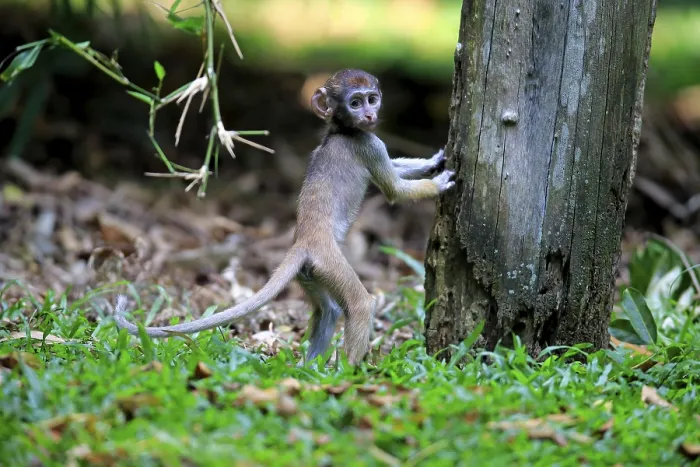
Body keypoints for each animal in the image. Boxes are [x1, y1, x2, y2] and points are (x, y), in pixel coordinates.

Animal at [114, 69, 455, 366]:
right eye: (356, 102)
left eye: (373, 98)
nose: (369, 115)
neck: (340, 130)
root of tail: (303, 242)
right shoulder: (368, 145)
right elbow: (394, 189)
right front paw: (440, 182)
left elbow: (397, 169)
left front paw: (433, 161)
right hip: (328, 261)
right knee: (359, 305)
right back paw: (350, 373)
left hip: (310, 273)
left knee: (329, 310)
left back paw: (309, 368)